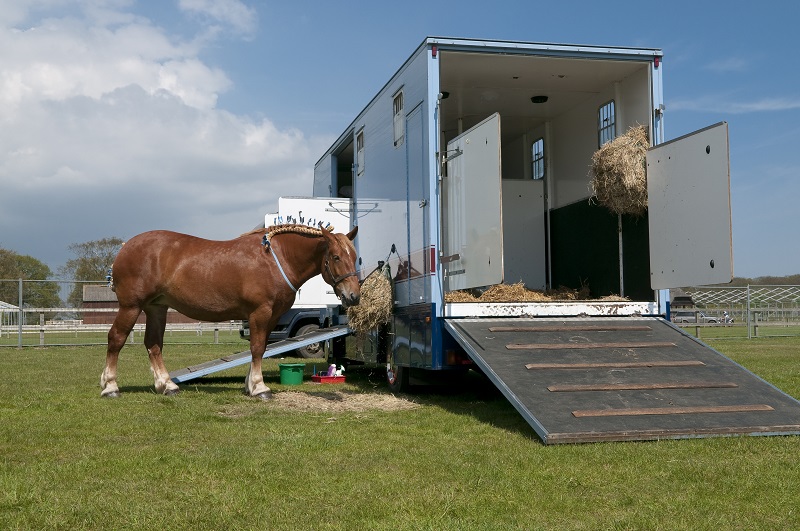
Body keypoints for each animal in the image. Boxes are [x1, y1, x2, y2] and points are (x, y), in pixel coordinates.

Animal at [100, 223, 359, 399]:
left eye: (355, 257)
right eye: (336, 257)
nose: (353, 296)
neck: (276, 260)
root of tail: (125, 248)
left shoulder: (272, 316)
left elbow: (260, 348)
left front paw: (250, 385)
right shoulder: (260, 312)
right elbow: (257, 348)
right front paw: (260, 387)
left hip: (156, 308)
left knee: (154, 344)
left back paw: (167, 386)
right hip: (131, 307)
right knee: (116, 338)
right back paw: (110, 387)